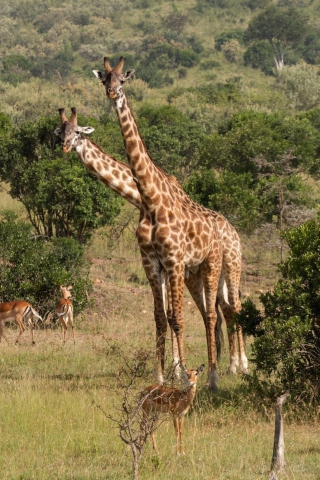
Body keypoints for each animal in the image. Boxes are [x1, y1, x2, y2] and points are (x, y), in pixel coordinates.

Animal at [92, 56, 248, 390]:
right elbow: (161, 317)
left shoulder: (174, 261)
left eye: (122, 80)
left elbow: (177, 317)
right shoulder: (153, 263)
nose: (112, 94)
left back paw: (223, 373)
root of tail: (227, 230)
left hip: (221, 265)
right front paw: (164, 376)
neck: (150, 201)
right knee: (215, 312)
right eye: (104, 80)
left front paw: (184, 375)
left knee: (222, 311)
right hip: (197, 272)